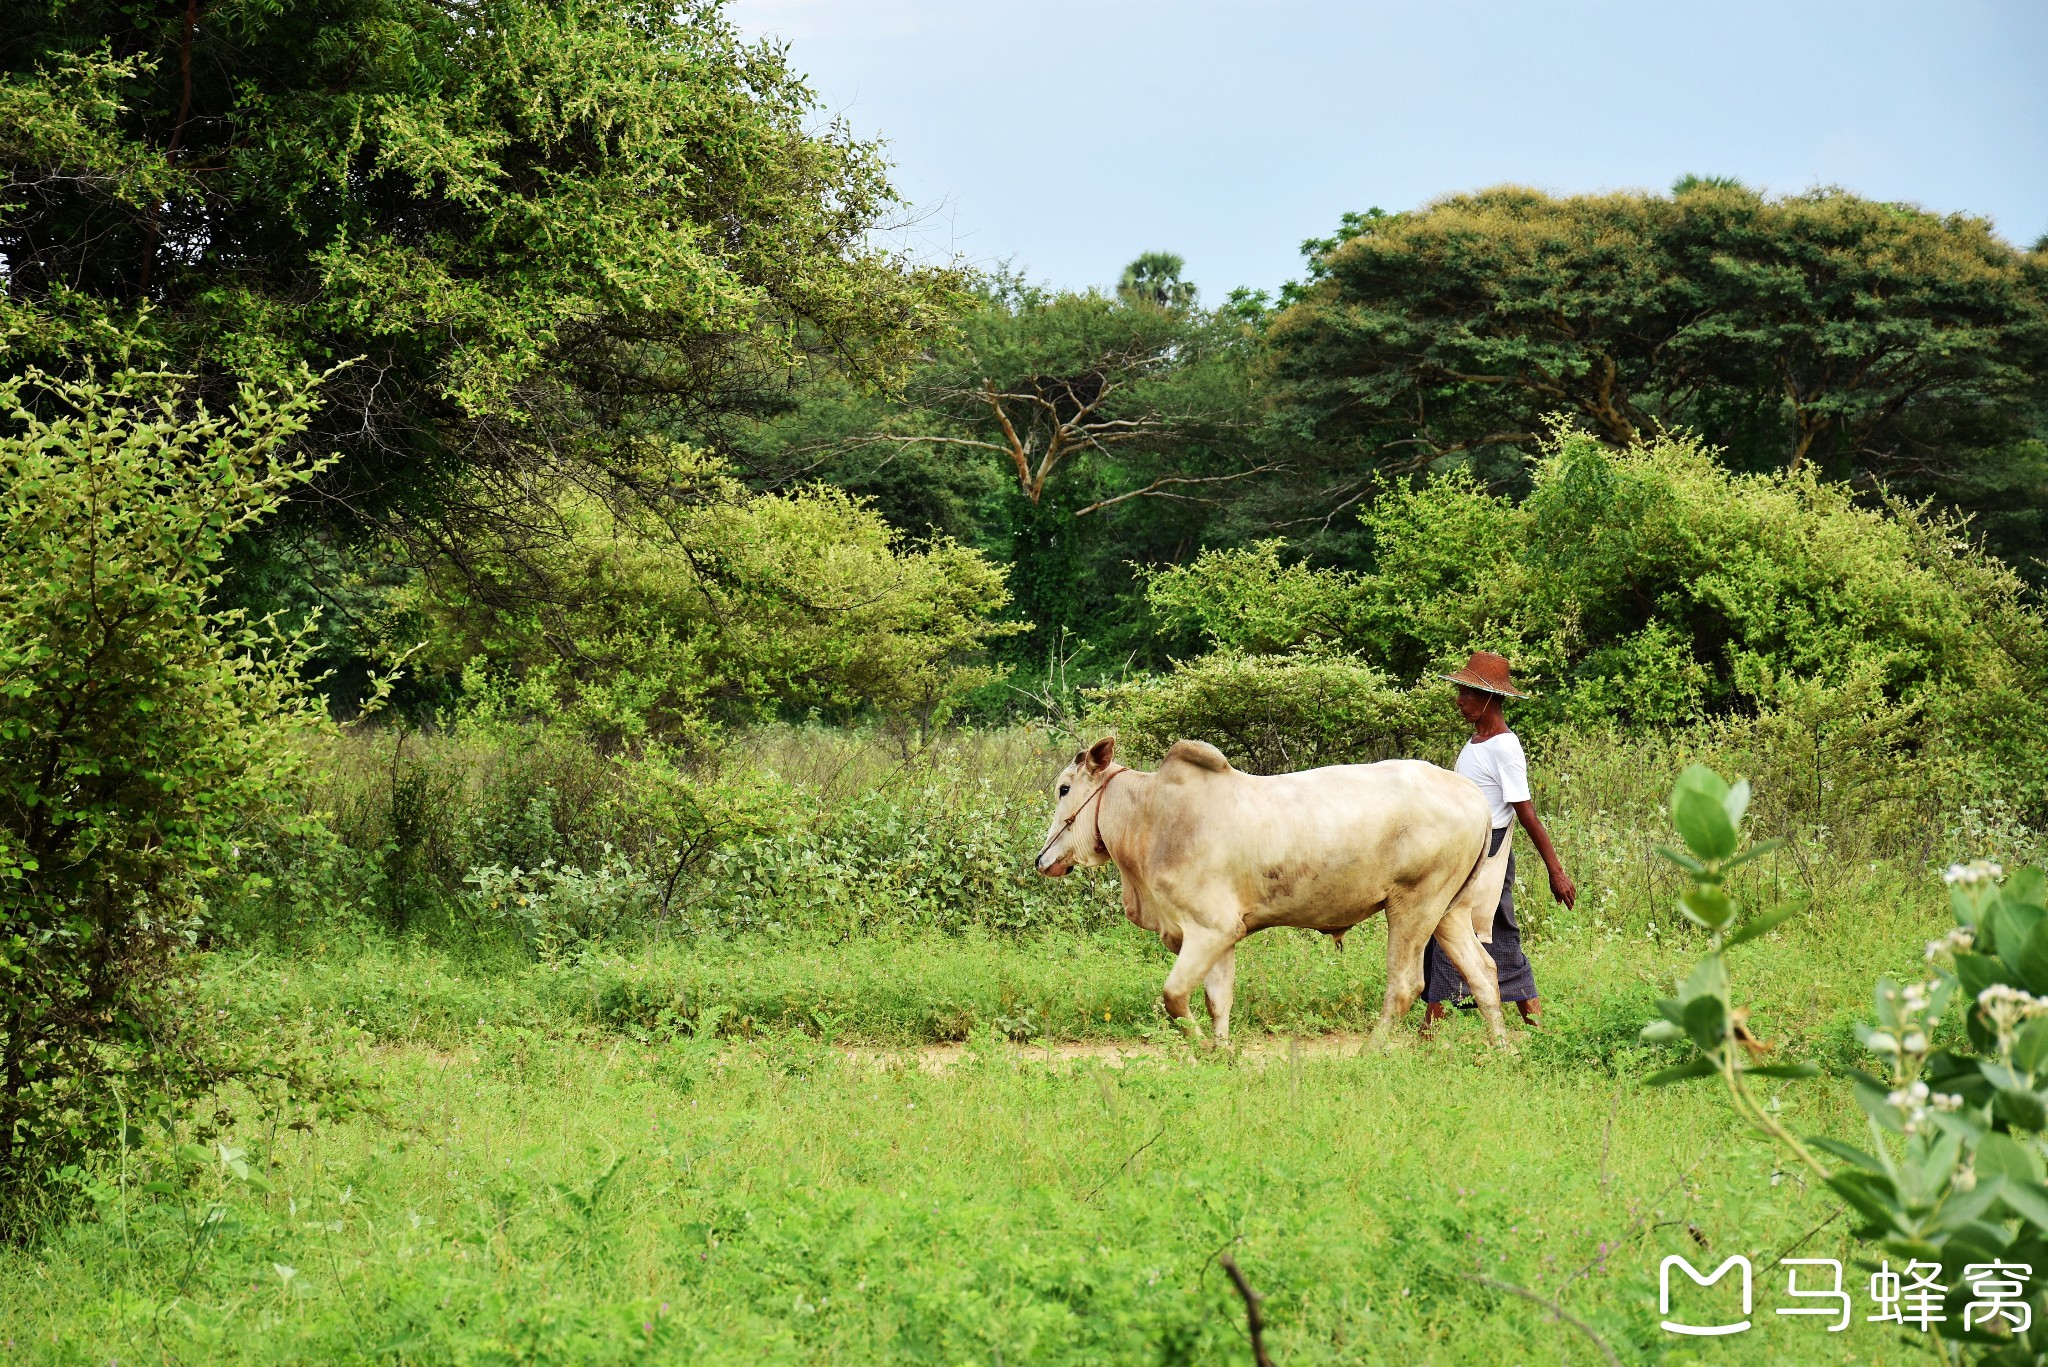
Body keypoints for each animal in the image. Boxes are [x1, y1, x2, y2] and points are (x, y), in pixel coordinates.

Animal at [1040, 737, 1507, 1049]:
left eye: (1064, 788)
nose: (1042, 860)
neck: (1151, 817)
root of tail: (1473, 796)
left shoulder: (1209, 930)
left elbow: (1174, 998)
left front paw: (1199, 1049)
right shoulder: (1219, 937)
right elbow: (1218, 1000)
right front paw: (1221, 1053)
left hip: (1413, 906)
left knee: (1406, 984)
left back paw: (1371, 1052)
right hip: (1449, 911)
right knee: (1483, 972)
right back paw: (1503, 1050)